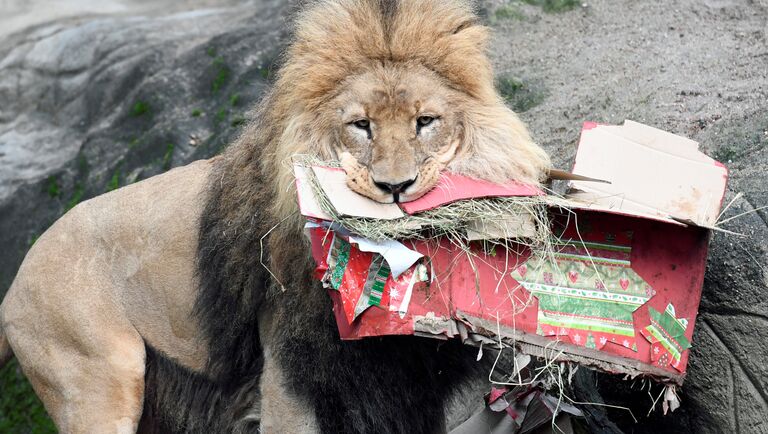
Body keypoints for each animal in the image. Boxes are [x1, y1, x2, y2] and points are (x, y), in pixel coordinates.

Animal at [1, 0, 552, 432]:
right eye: (361, 126)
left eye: (425, 122)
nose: (395, 187)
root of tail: (14, 284)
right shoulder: (292, 373)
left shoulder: (402, 381)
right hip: (93, 376)